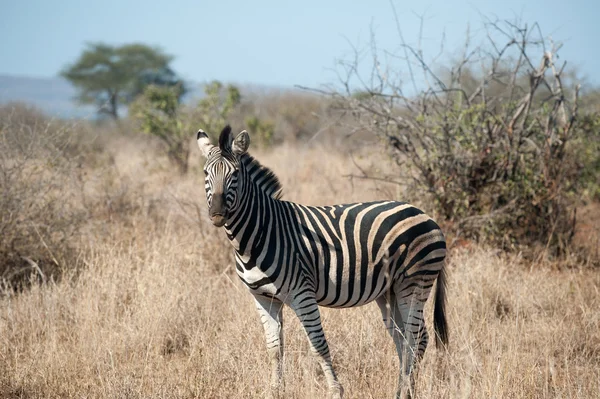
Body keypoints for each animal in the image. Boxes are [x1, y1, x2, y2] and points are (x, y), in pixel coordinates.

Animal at [196, 126, 446, 399]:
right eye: (206, 173)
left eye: (236, 174)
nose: (217, 214)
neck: (255, 236)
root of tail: (425, 215)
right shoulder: (263, 298)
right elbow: (274, 348)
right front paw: (275, 391)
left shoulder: (302, 293)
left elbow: (318, 345)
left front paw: (336, 391)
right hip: (389, 291)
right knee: (405, 339)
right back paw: (402, 390)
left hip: (414, 284)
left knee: (415, 338)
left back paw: (407, 391)